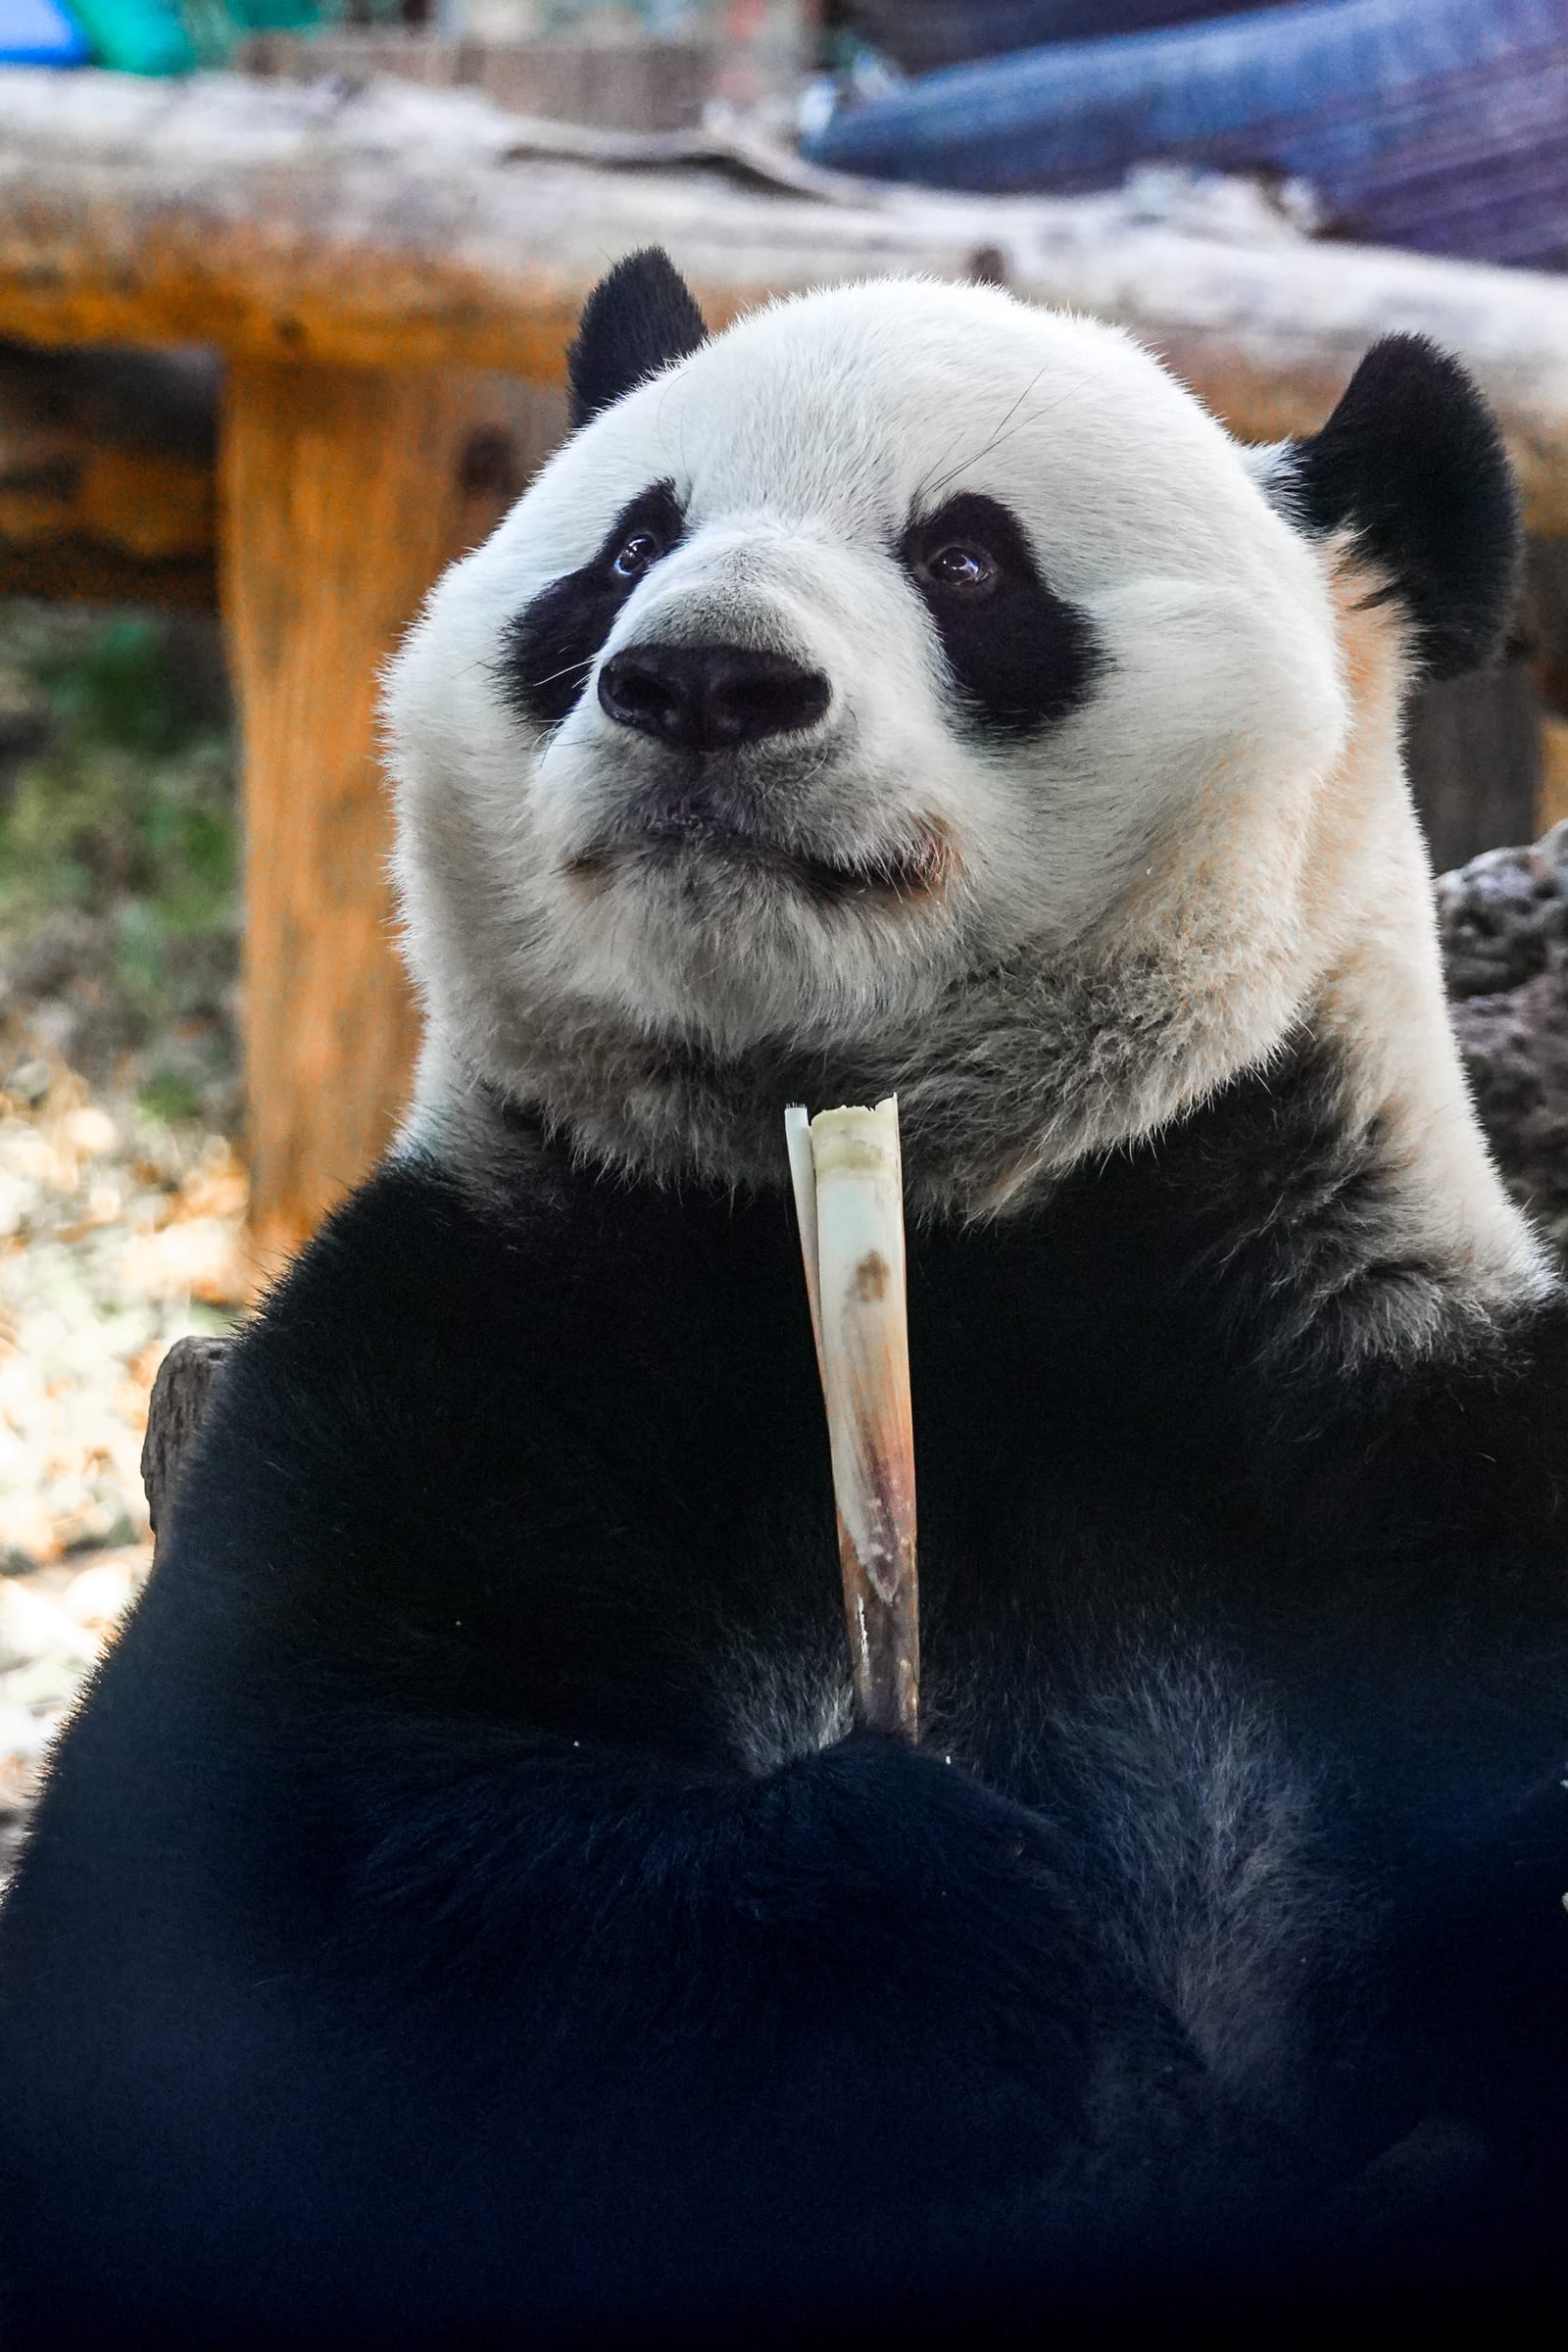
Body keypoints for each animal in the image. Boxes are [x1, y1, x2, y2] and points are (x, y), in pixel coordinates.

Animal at [1, 247, 1566, 2345]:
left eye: (970, 559)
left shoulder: (1378, 1407)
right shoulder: (476, 1339)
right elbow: (212, 1927)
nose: (702, 680)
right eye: (625, 548)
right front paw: (924, 1922)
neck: (976, 1234)